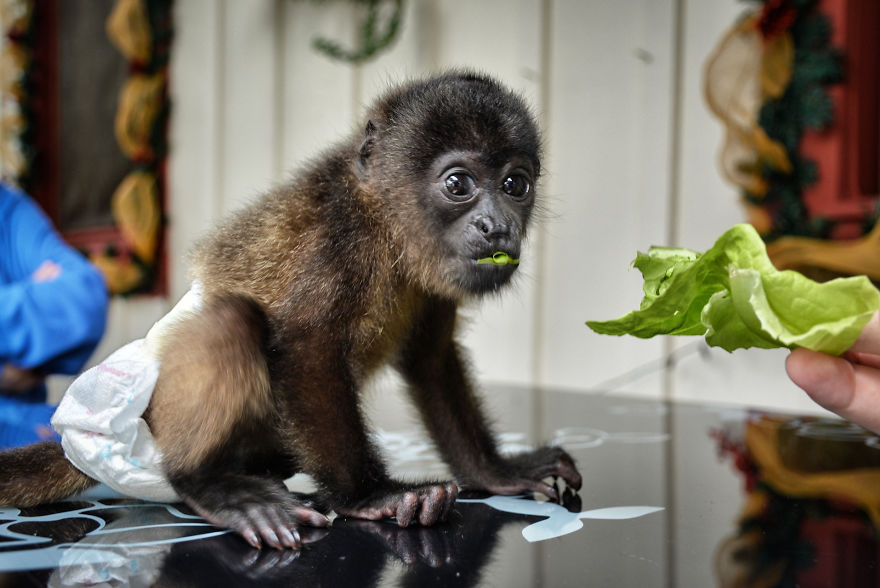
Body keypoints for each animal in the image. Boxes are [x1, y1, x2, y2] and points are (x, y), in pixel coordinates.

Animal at [0, 71, 582, 550]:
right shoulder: (338, 238)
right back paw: (210, 485)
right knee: (231, 319)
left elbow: (432, 358)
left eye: (515, 184)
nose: (497, 227)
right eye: (458, 184)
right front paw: (370, 496)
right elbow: (307, 346)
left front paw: (497, 471)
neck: (387, 225)